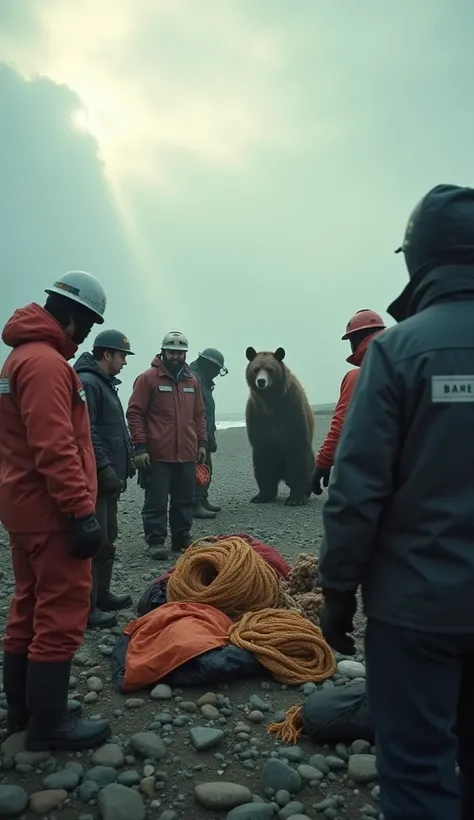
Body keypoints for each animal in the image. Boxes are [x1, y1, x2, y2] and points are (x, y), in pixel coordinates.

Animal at [244, 342, 314, 502]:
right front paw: (262, 495)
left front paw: (295, 498)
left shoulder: (291, 410)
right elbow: (263, 457)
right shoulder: (258, 414)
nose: (261, 381)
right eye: (256, 369)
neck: (271, 402)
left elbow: (296, 451)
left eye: (270, 369)